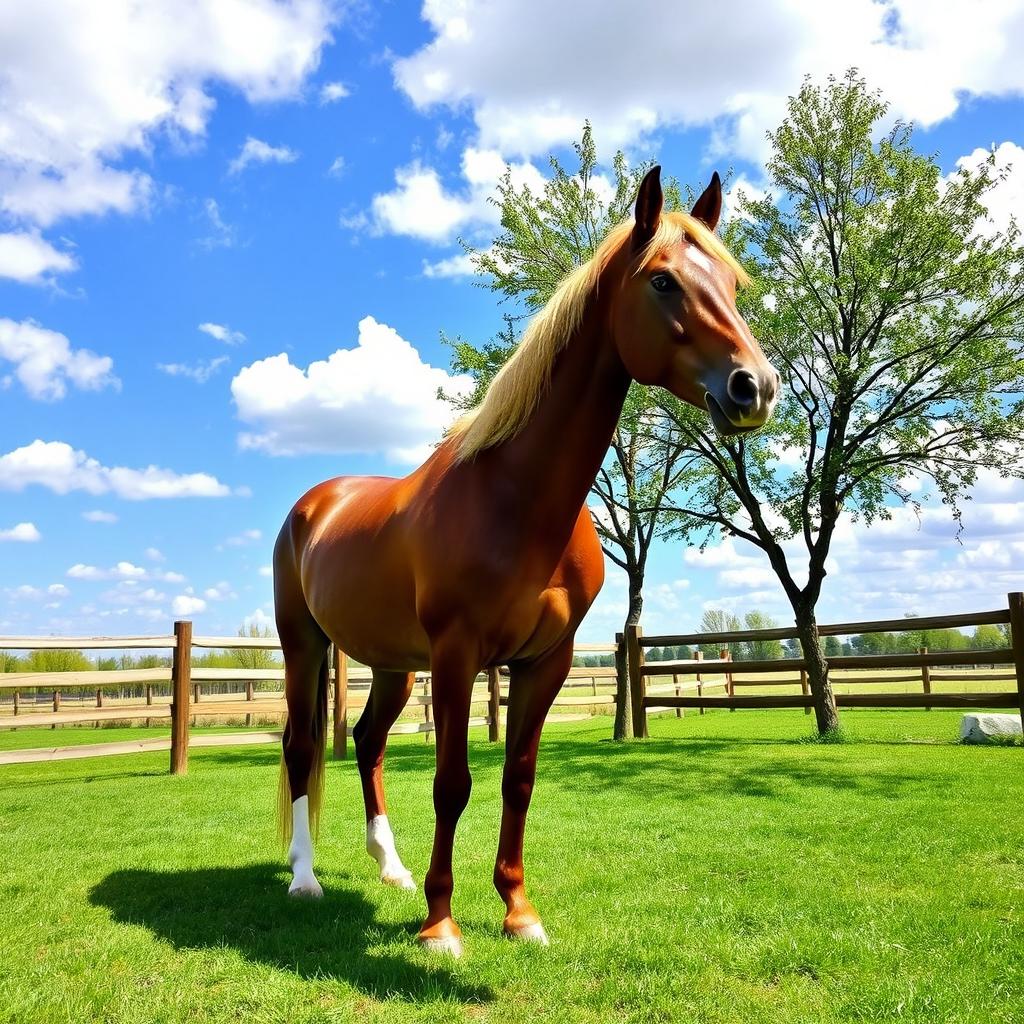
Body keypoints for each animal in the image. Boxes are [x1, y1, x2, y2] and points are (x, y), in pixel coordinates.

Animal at [273, 166, 779, 956]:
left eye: (731, 281)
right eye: (663, 281)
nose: (753, 387)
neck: (515, 495)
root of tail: (314, 504)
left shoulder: (547, 661)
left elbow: (519, 776)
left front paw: (517, 910)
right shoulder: (457, 656)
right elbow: (453, 784)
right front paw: (441, 924)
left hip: (392, 665)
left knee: (367, 742)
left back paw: (390, 867)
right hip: (305, 646)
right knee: (301, 749)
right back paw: (304, 878)